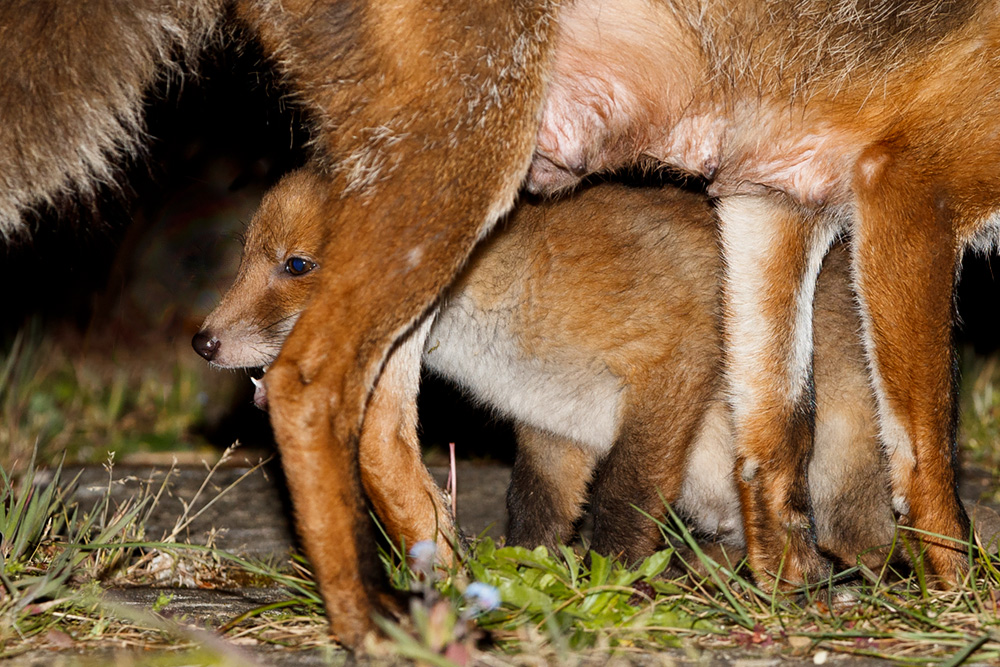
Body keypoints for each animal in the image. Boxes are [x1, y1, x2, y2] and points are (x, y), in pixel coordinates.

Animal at [194, 168, 896, 572]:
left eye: (297, 266)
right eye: (245, 257)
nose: (203, 342)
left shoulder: (676, 353)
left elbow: (624, 493)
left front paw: (610, 580)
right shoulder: (554, 421)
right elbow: (534, 508)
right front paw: (529, 574)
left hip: (830, 476)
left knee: (863, 548)